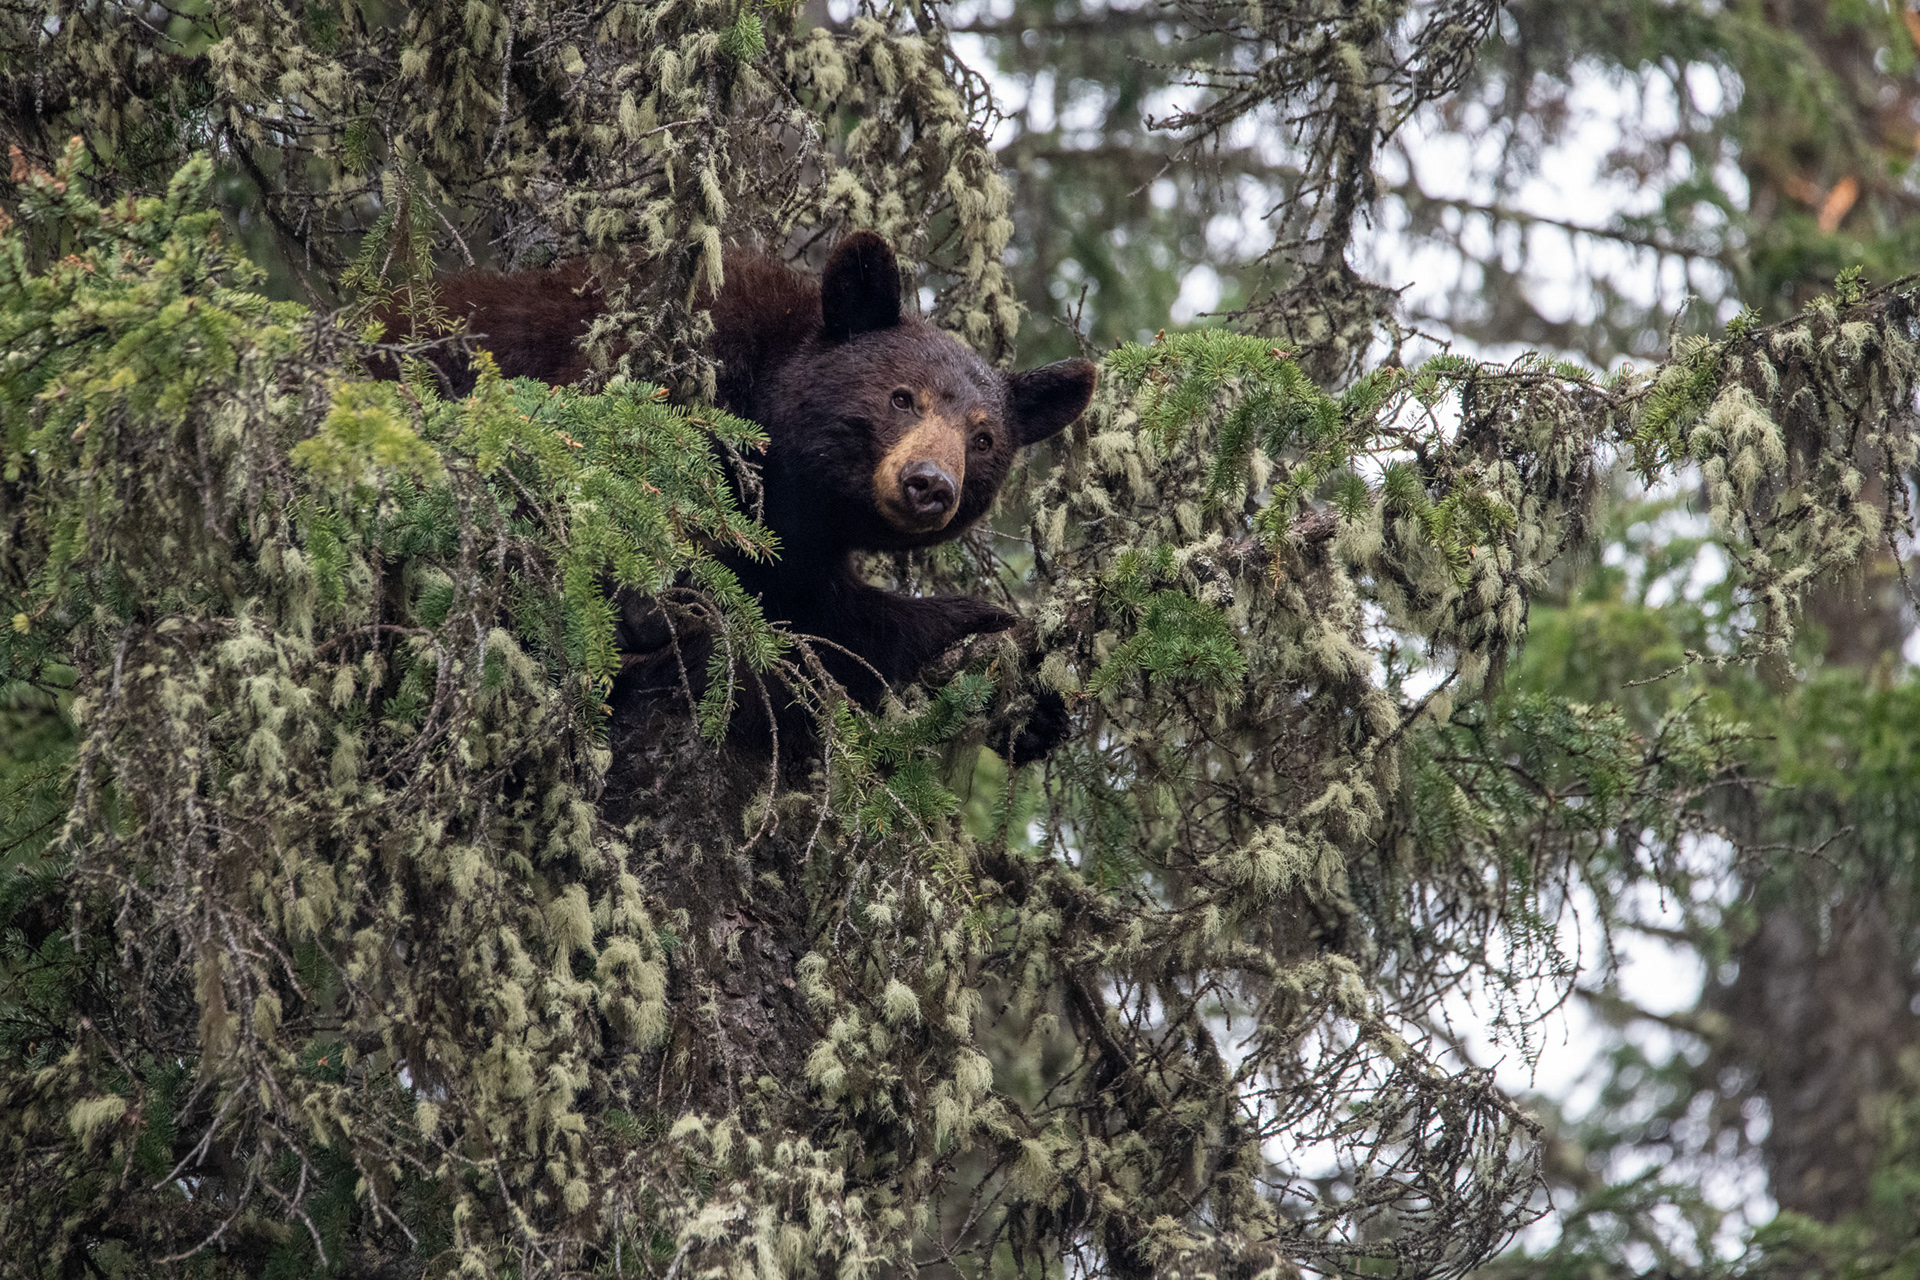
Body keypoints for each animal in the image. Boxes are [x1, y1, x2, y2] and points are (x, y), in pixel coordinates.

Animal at [398, 234, 1095, 758]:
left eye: (983, 439)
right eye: (902, 397)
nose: (929, 484)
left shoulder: (797, 541)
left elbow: (823, 615)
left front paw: (1031, 705)